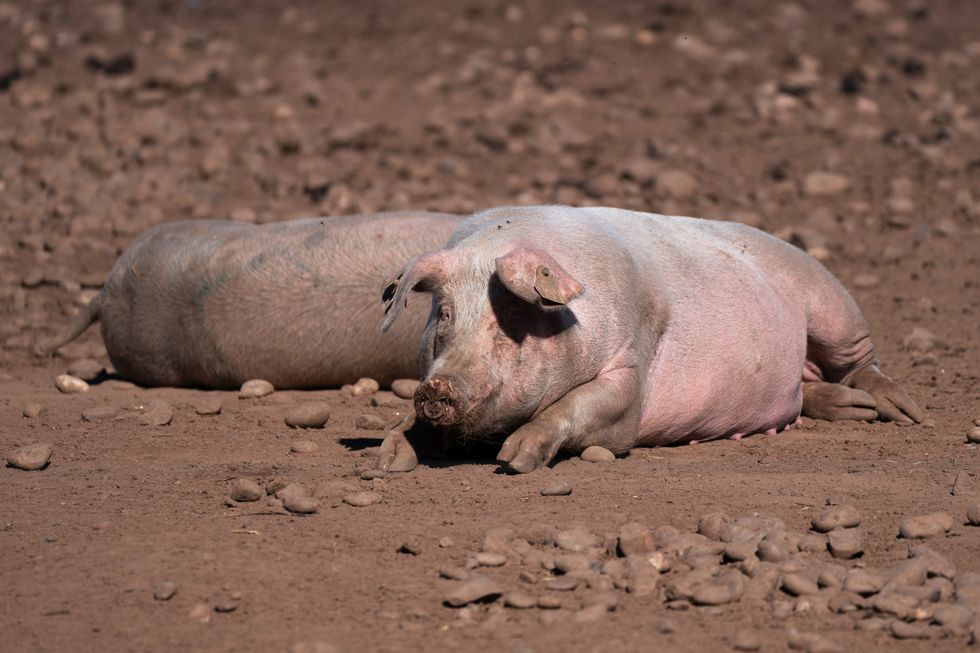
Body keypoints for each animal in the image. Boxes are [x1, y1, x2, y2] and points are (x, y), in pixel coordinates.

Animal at [378, 205, 923, 474]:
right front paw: (387, 461)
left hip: (830, 302)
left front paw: (514, 458)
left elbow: (587, 404)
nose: (439, 387)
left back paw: (902, 413)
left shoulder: (630, 370)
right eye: (445, 314)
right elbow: (409, 424)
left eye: (510, 314)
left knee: (861, 363)